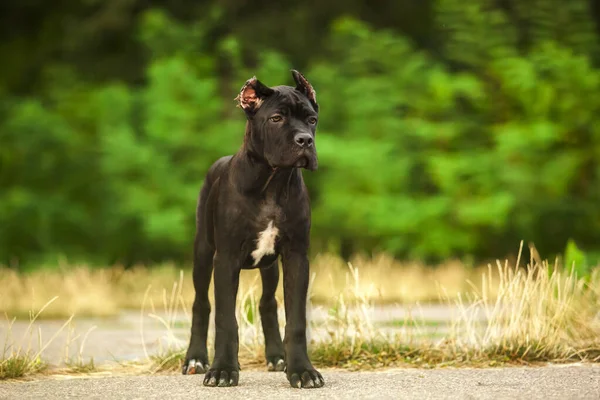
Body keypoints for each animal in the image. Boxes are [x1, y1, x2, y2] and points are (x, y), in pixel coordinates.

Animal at [182, 70, 324, 390]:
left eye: (312, 119)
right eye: (276, 119)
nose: (305, 140)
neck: (272, 181)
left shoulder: (296, 256)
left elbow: (295, 319)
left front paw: (302, 370)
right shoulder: (225, 259)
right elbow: (225, 318)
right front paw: (222, 370)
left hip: (269, 267)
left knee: (267, 303)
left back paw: (277, 357)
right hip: (203, 252)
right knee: (201, 304)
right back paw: (196, 359)